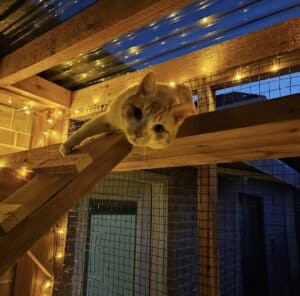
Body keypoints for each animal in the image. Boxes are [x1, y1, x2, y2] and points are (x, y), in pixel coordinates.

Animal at [61, 72, 197, 156]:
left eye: (159, 128)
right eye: (137, 112)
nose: (138, 134)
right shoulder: (108, 118)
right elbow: (85, 129)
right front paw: (67, 145)